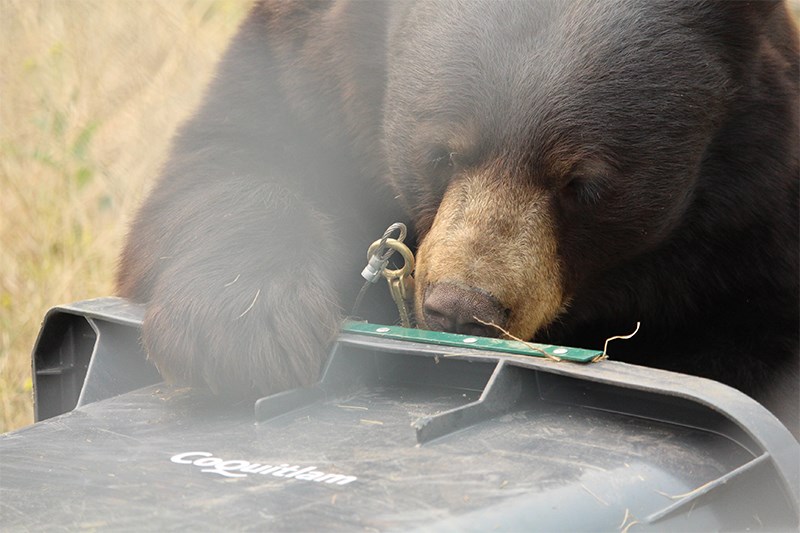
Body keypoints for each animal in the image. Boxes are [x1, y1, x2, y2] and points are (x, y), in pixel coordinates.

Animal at [115, 0, 796, 432]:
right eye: (440, 151)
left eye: (582, 184)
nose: (461, 309)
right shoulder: (303, 64)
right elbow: (232, 156)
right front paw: (244, 332)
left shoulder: (752, 228)